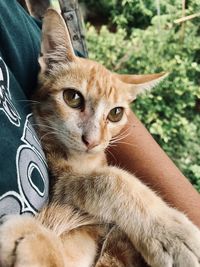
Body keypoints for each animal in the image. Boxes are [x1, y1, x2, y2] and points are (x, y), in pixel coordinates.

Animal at [0, 8, 200, 267]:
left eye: (116, 113)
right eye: (72, 97)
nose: (92, 141)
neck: (86, 160)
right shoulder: (60, 184)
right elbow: (108, 179)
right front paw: (169, 231)